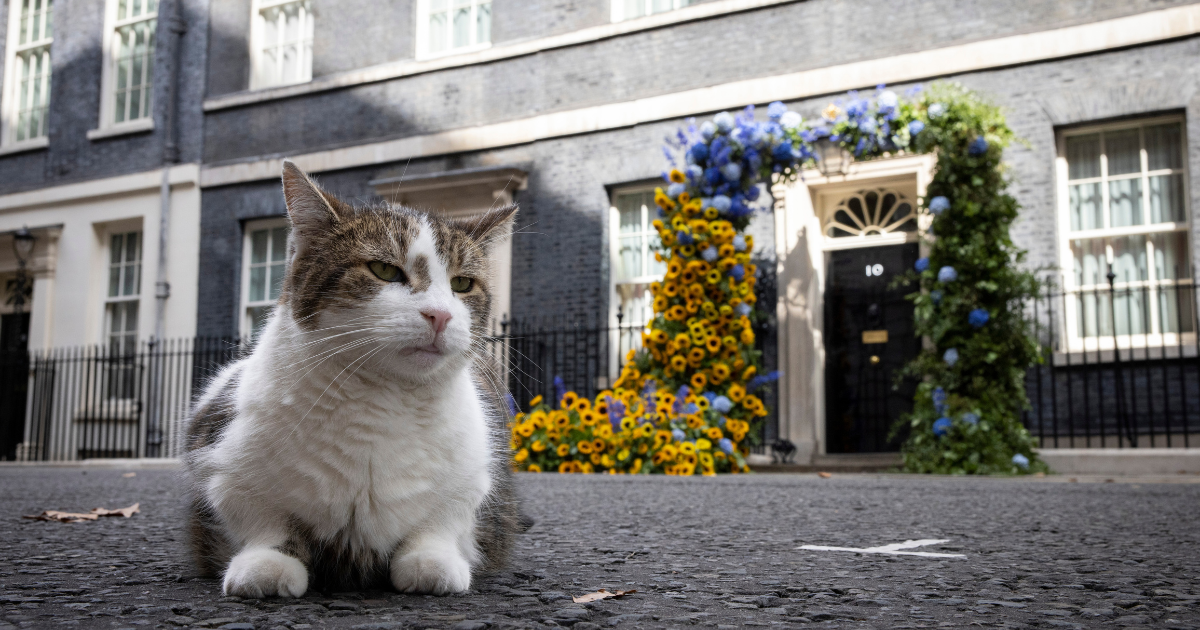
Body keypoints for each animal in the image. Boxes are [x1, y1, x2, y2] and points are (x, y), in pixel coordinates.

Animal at [184, 159, 523, 597]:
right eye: (384, 270)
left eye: (462, 283)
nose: (440, 315)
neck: (381, 400)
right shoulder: (219, 458)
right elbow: (264, 519)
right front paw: (268, 562)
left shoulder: (478, 476)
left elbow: (443, 519)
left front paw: (431, 559)